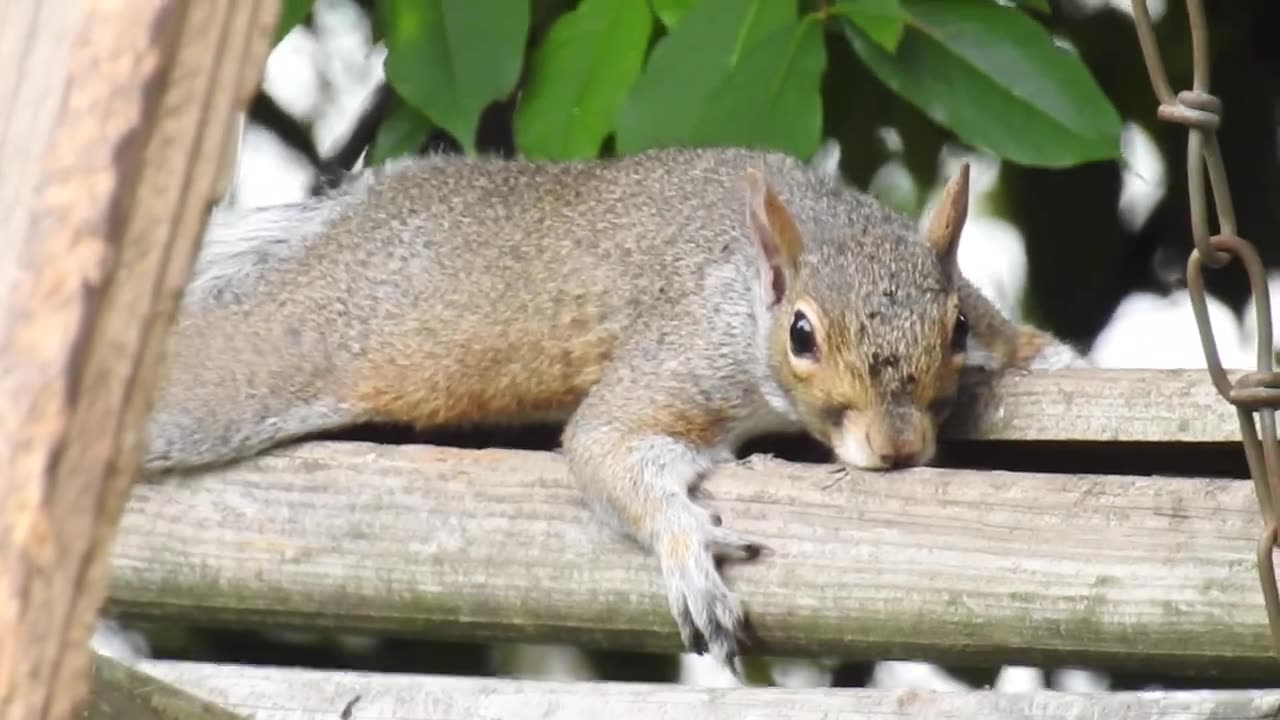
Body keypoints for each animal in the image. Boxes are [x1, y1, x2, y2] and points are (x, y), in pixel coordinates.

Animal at [140, 141, 1085, 671]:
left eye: (954, 326)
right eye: (802, 336)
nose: (897, 447)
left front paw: (1047, 354)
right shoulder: (686, 357)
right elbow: (605, 442)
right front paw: (689, 545)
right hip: (282, 357)